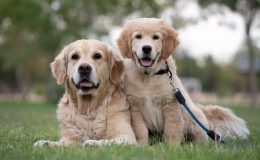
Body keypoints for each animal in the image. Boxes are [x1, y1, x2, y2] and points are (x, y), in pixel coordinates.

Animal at [117, 18, 249, 146]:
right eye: (138, 36)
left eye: (156, 37)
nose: (146, 48)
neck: (149, 76)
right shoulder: (135, 107)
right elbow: (141, 130)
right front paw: (142, 146)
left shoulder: (171, 104)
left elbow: (172, 129)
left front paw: (172, 147)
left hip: (193, 116)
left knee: (202, 137)